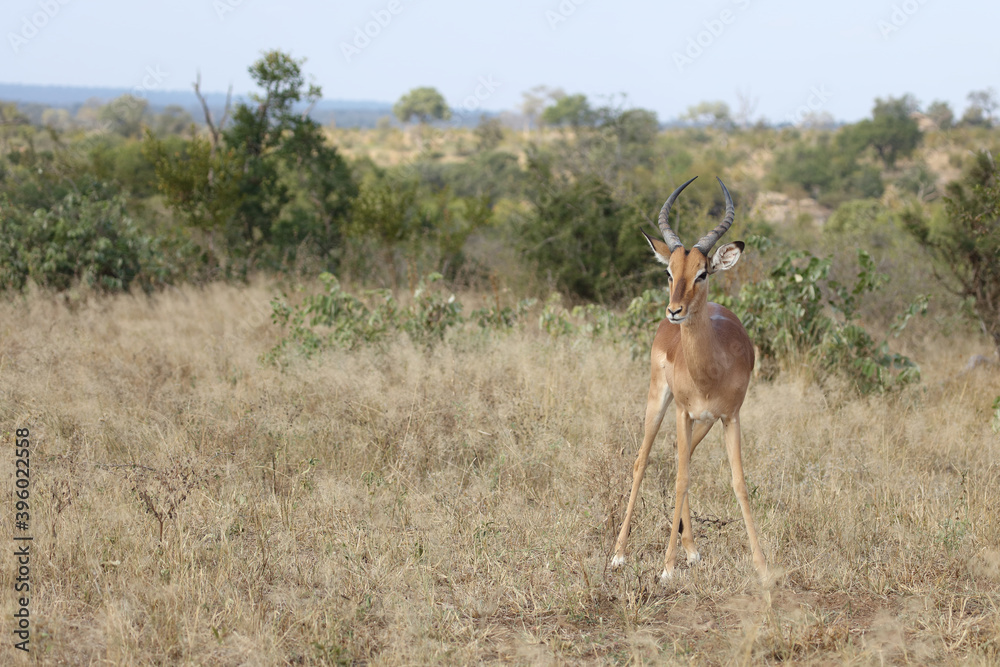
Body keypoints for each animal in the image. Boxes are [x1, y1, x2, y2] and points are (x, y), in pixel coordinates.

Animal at [610, 176, 767, 583]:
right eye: (669, 272)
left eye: (703, 272)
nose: (675, 310)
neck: (710, 370)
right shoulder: (682, 412)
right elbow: (680, 479)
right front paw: (666, 568)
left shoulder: (729, 417)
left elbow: (738, 482)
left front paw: (762, 566)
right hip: (659, 401)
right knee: (643, 461)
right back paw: (619, 554)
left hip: (703, 422)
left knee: (686, 459)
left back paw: (692, 548)